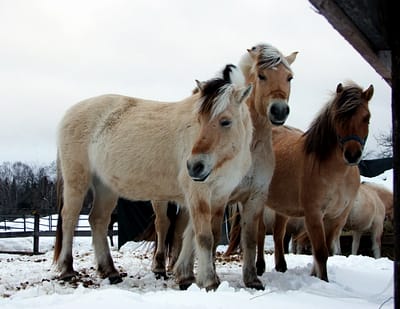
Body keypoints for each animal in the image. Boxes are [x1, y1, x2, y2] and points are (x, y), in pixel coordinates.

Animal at [53, 63, 253, 290]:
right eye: (198, 120)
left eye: (225, 121)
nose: (195, 167)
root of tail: (70, 112)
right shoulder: (198, 193)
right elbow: (203, 237)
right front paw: (209, 281)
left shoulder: (219, 196)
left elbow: (201, 235)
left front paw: (188, 276)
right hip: (76, 181)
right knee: (69, 218)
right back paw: (67, 270)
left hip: (105, 187)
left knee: (98, 221)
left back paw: (110, 271)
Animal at [172, 43, 296, 288]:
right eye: (261, 75)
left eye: (289, 77)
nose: (278, 110)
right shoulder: (220, 197)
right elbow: (210, 235)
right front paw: (211, 277)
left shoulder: (255, 196)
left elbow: (250, 239)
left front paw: (252, 278)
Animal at [253, 82, 376, 282]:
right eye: (338, 117)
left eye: (367, 117)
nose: (352, 155)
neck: (336, 173)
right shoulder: (314, 214)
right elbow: (320, 251)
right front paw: (323, 281)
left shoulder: (337, 217)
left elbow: (325, 249)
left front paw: (315, 276)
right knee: (261, 233)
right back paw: (259, 267)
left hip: (282, 207)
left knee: (279, 234)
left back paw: (281, 266)